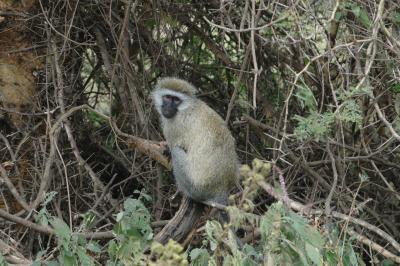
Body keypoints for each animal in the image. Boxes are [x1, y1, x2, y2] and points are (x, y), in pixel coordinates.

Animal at [153, 77, 239, 210]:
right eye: (167, 97)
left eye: (176, 100)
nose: (168, 107)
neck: (186, 107)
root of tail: (222, 186)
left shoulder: (174, 127)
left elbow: (173, 146)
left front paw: (167, 149)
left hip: (198, 188)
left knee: (176, 152)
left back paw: (185, 193)